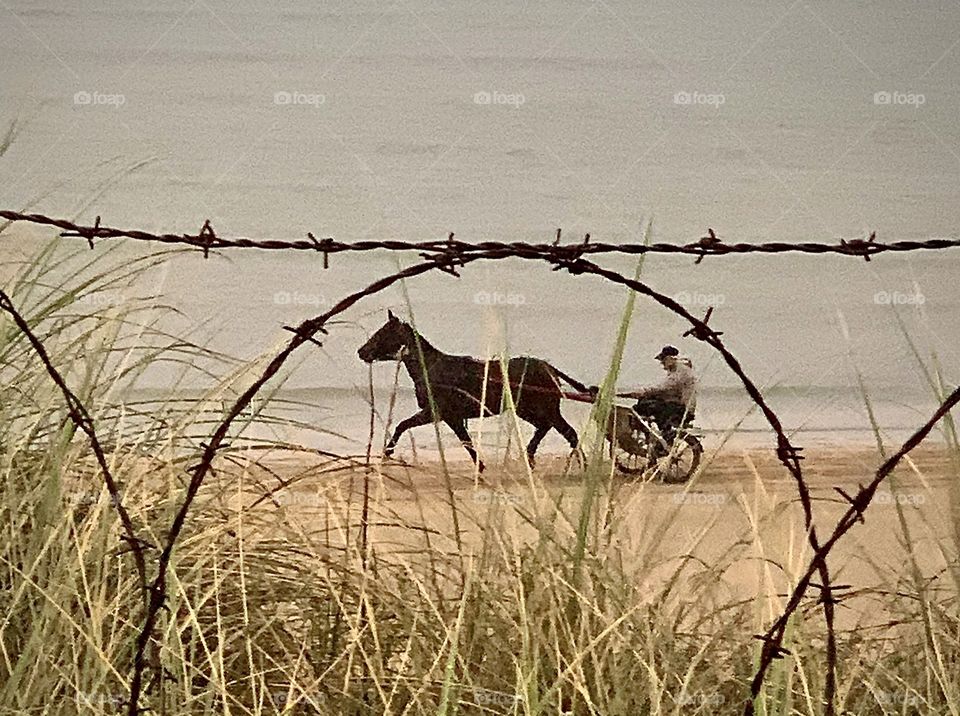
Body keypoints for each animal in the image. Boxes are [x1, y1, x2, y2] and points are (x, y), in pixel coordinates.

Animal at [357, 310, 586, 472]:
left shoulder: (440, 413)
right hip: (526, 409)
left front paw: (388, 452)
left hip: (545, 408)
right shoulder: (444, 416)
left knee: (568, 433)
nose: (361, 352)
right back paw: (531, 456)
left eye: (382, 334)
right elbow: (462, 440)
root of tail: (549, 368)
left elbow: (407, 426)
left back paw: (578, 464)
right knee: (546, 428)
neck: (431, 368)